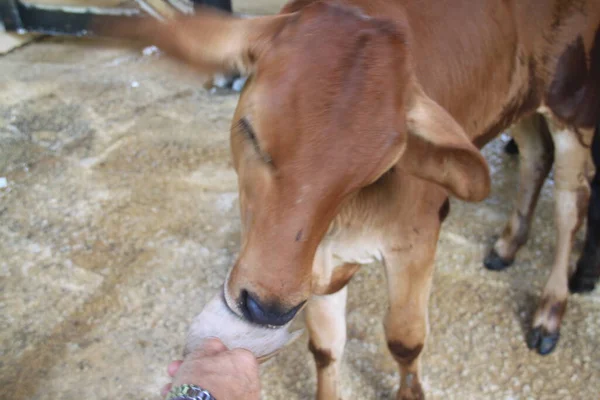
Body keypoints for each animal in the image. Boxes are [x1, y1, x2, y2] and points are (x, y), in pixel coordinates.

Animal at [97, 0, 600, 396]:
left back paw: (550, 312)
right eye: (251, 133)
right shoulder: (316, 265)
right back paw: (507, 244)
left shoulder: (416, 241)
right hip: (523, 101)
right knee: (535, 156)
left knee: (570, 206)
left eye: (376, 170)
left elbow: (404, 339)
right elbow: (324, 346)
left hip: (574, 107)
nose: (266, 308)